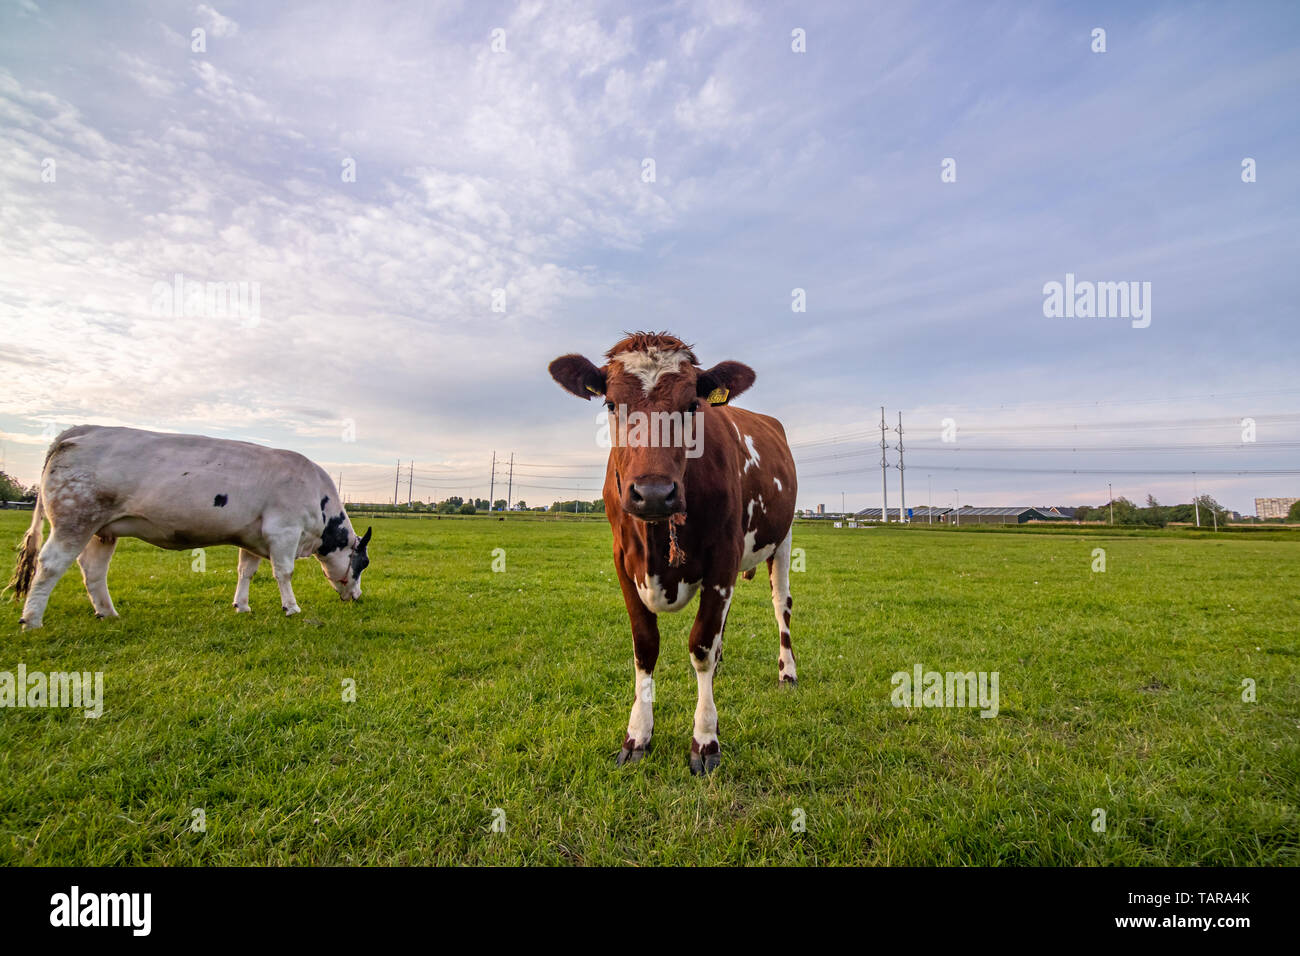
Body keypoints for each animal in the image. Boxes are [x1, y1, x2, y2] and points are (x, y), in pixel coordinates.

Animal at [11, 426, 371, 629]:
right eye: (363, 563)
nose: (358, 597)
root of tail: (79, 430)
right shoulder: (283, 531)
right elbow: (284, 572)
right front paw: (291, 607)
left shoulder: (254, 537)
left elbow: (246, 571)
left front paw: (242, 605)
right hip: (74, 520)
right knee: (51, 564)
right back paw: (32, 620)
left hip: (102, 530)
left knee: (93, 570)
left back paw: (108, 613)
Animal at [546, 332, 795, 775]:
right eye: (611, 404)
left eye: (692, 406)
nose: (654, 493)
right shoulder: (623, 562)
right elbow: (646, 647)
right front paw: (637, 735)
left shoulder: (723, 557)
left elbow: (700, 646)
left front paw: (705, 739)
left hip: (782, 540)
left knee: (780, 604)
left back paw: (788, 672)